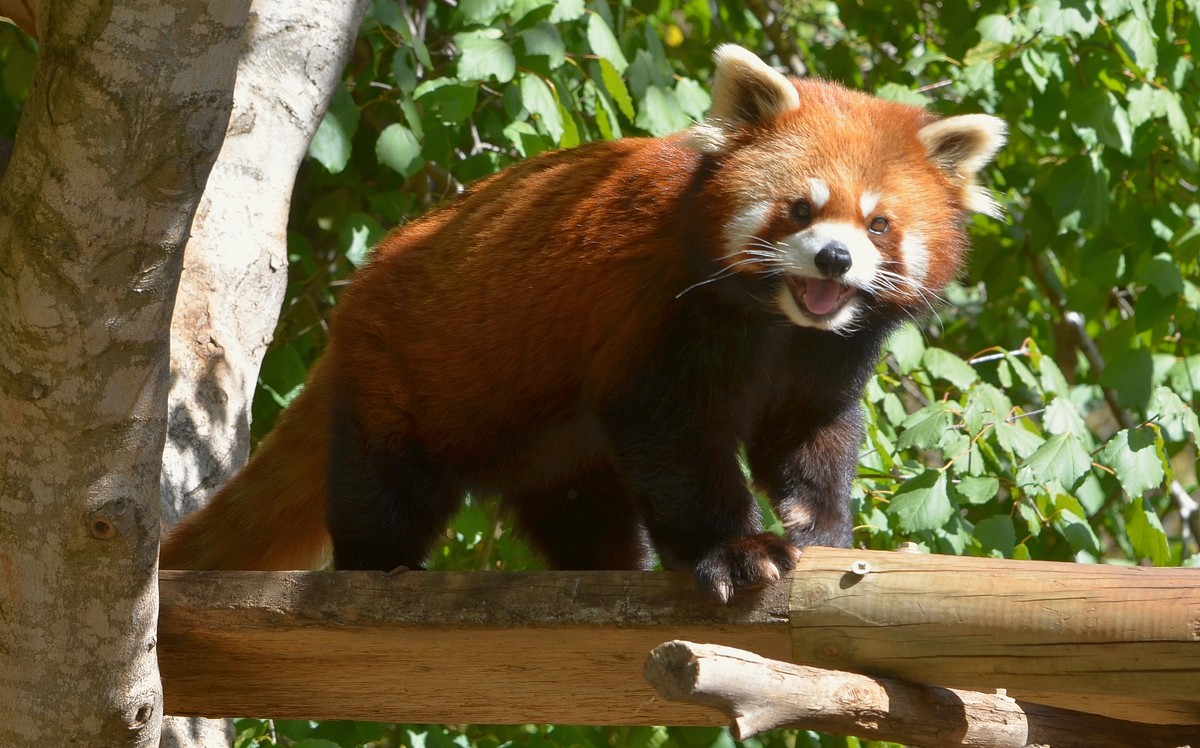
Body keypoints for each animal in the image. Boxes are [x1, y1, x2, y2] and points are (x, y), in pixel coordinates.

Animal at [159, 42, 1003, 602]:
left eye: (879, 225)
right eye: (800, 208)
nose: (833, 259)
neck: (779, 319)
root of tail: (360, 294)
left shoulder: (826, 355)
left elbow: (809, 432)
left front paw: (819, 526)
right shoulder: (662, 311)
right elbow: (671, 435)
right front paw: (738, 549)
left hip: (551, 449)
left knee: (579, 504)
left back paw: (611, 565)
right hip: (405, 369)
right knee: (385, 479)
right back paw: (382, 562)